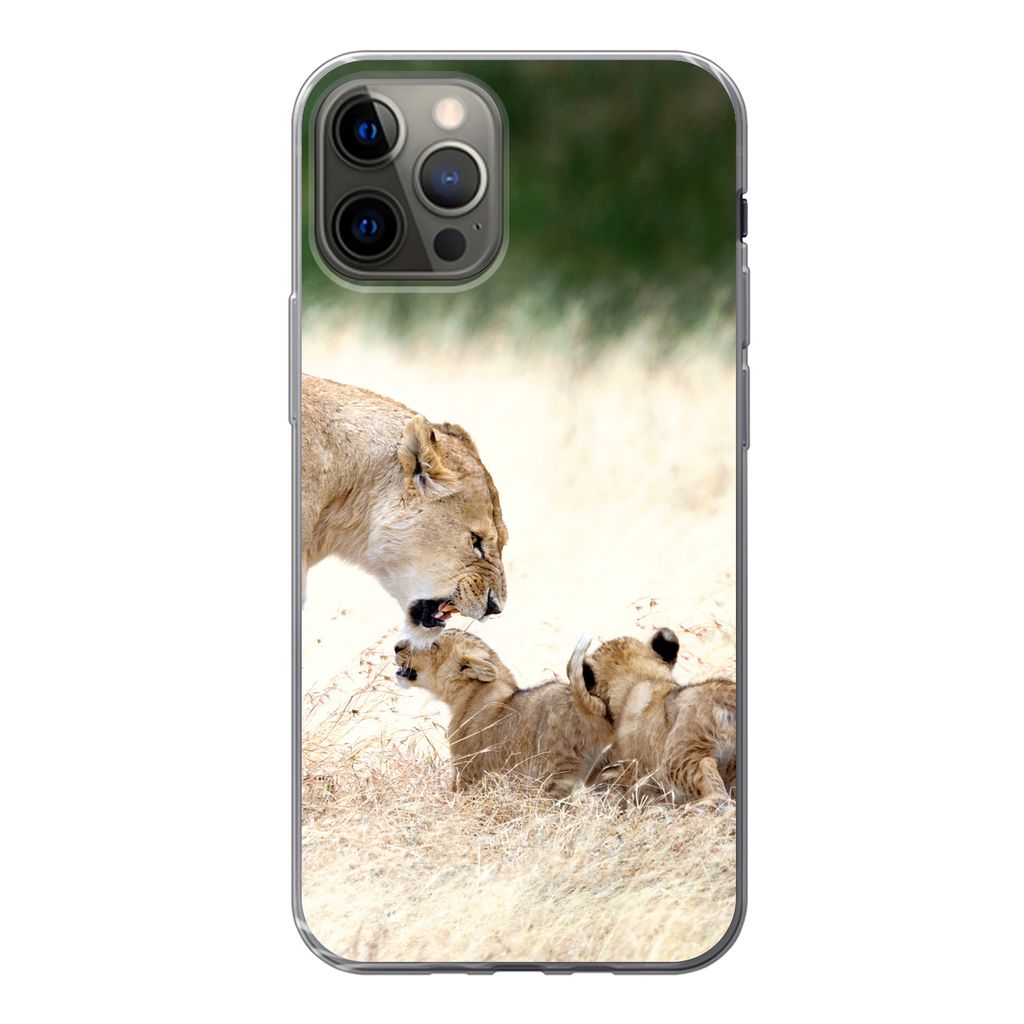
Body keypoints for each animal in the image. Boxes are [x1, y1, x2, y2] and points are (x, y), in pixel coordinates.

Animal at [393, 629, 613, 796]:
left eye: (433, 644)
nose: (396, 646)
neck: (471, 692)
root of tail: (588, 704)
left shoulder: (467, 770)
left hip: (552, 773)